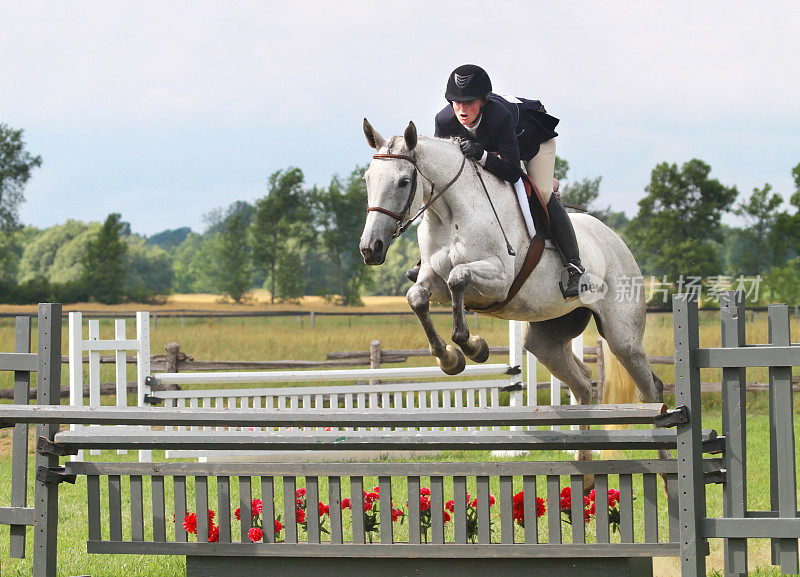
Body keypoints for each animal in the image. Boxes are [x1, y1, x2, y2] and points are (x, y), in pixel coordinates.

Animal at [360, 118, 664, 460]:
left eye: (402, 182)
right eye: (367, 180)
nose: (370, 248)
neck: (451, 212)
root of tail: (616, 241)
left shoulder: (499, 279)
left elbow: (458, 278)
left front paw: (473, 347)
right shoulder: (431, 278)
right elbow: (418, 297)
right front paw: (448, 358)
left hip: (622, 337)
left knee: (651, 388)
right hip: (546, 338)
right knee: (583, 383)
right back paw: (583, 462)